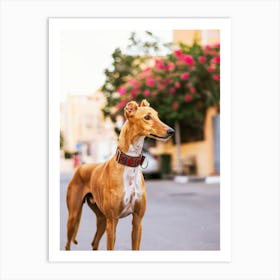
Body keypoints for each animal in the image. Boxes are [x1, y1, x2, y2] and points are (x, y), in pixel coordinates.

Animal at [65, 99, 174, 250]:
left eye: (157, 115)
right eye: (147, 117)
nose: (171, 131)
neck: (129, 165)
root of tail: (81, 167)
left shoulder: (137, 221)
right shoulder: (113, 221)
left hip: (102, 219)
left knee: (94, 243)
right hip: (74, 215)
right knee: (67, 244)